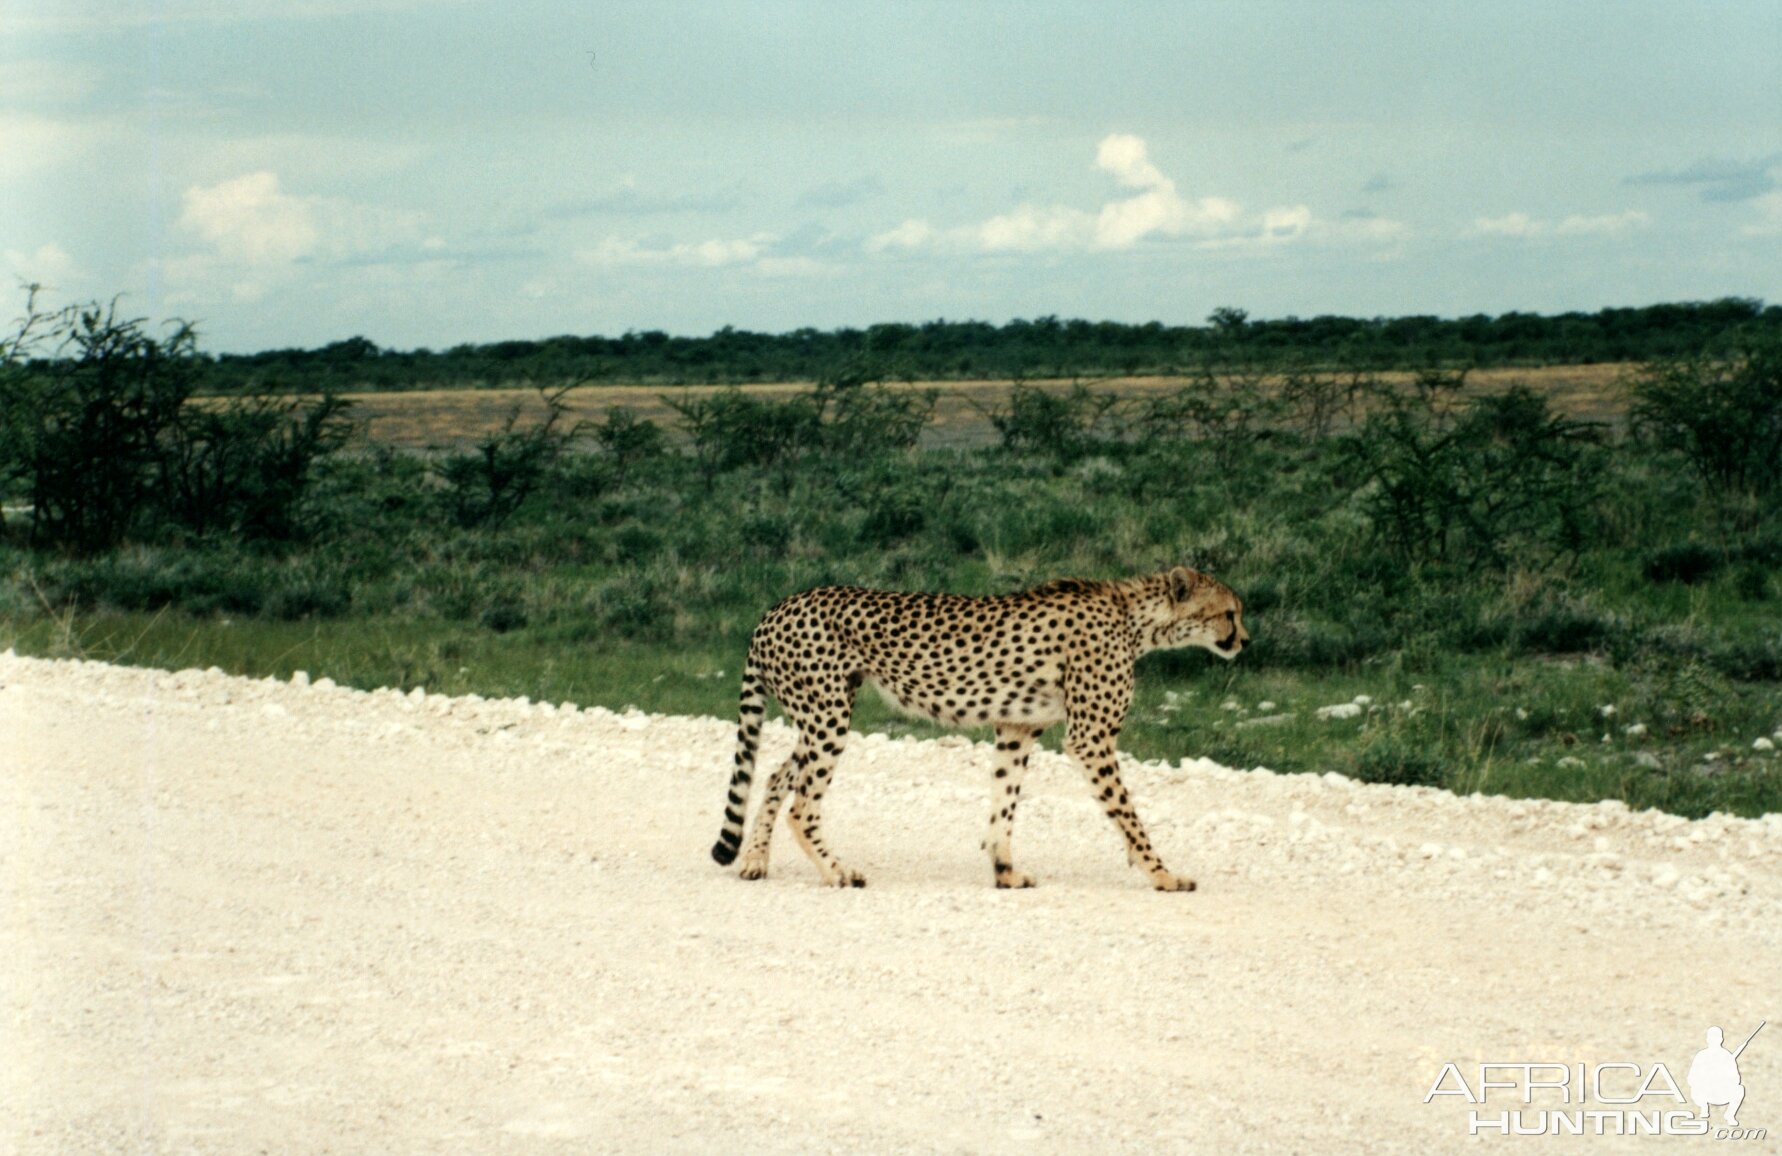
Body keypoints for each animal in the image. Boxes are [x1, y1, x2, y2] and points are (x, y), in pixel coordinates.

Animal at [709, 566, 1254, 894]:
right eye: (1228, 612)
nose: (1245, 641)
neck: (1134, 618)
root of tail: (778, 606)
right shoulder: (1090, 737)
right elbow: (1128, 814)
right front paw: (1163, 874)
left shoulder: (1018, 727)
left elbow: (1003, 805)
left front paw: (1005, 872)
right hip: (827, 717)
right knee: (802, 805)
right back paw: (837, 871)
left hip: (818, 716)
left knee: (778, 776)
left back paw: (754, 860)